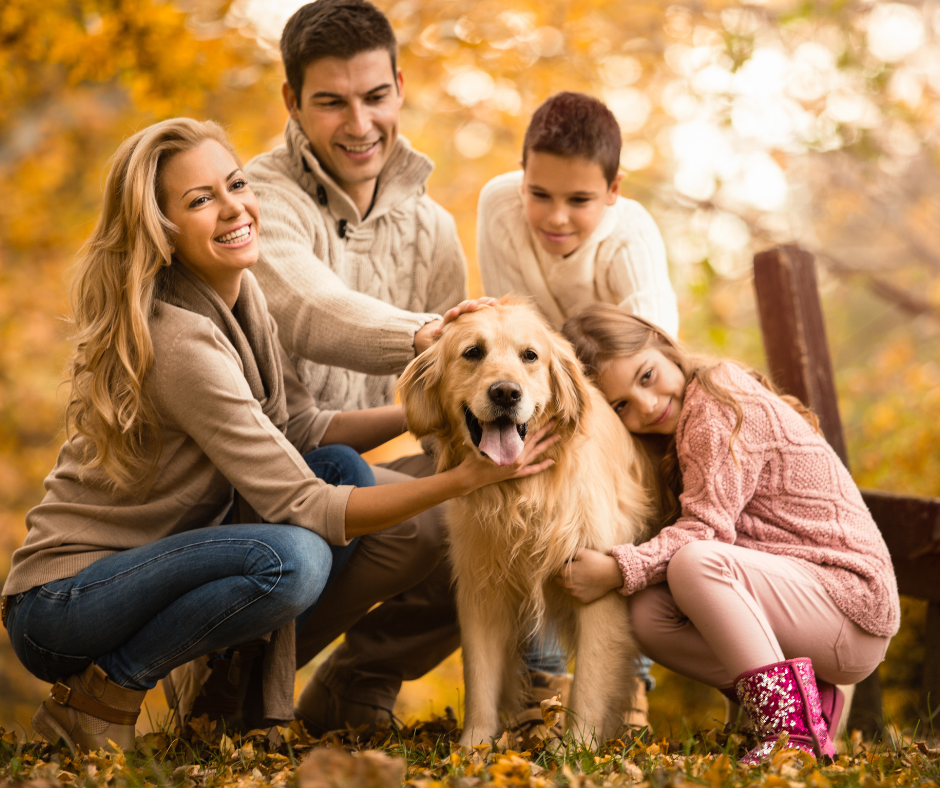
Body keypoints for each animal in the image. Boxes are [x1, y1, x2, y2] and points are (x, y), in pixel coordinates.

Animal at [396, 300, 652, 744]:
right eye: (472, 352)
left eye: (530, 356)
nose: (505, 392)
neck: (523, 493)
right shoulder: (482, 588)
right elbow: (480, 677)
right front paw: (474, 746)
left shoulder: (598, 587)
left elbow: (589, 684)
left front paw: (578, 749)